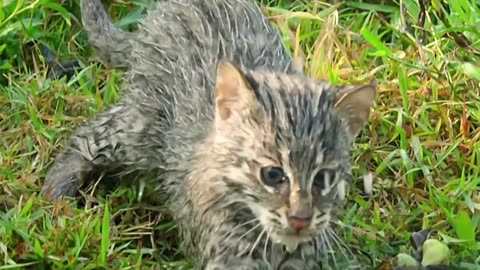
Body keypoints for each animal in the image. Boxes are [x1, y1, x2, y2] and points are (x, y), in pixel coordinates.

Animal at [42, 1, 376, 268]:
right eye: (272, 175)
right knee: (87, 137)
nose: (300, 220)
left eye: (324, 178)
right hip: (140, 127)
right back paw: (55, 199)